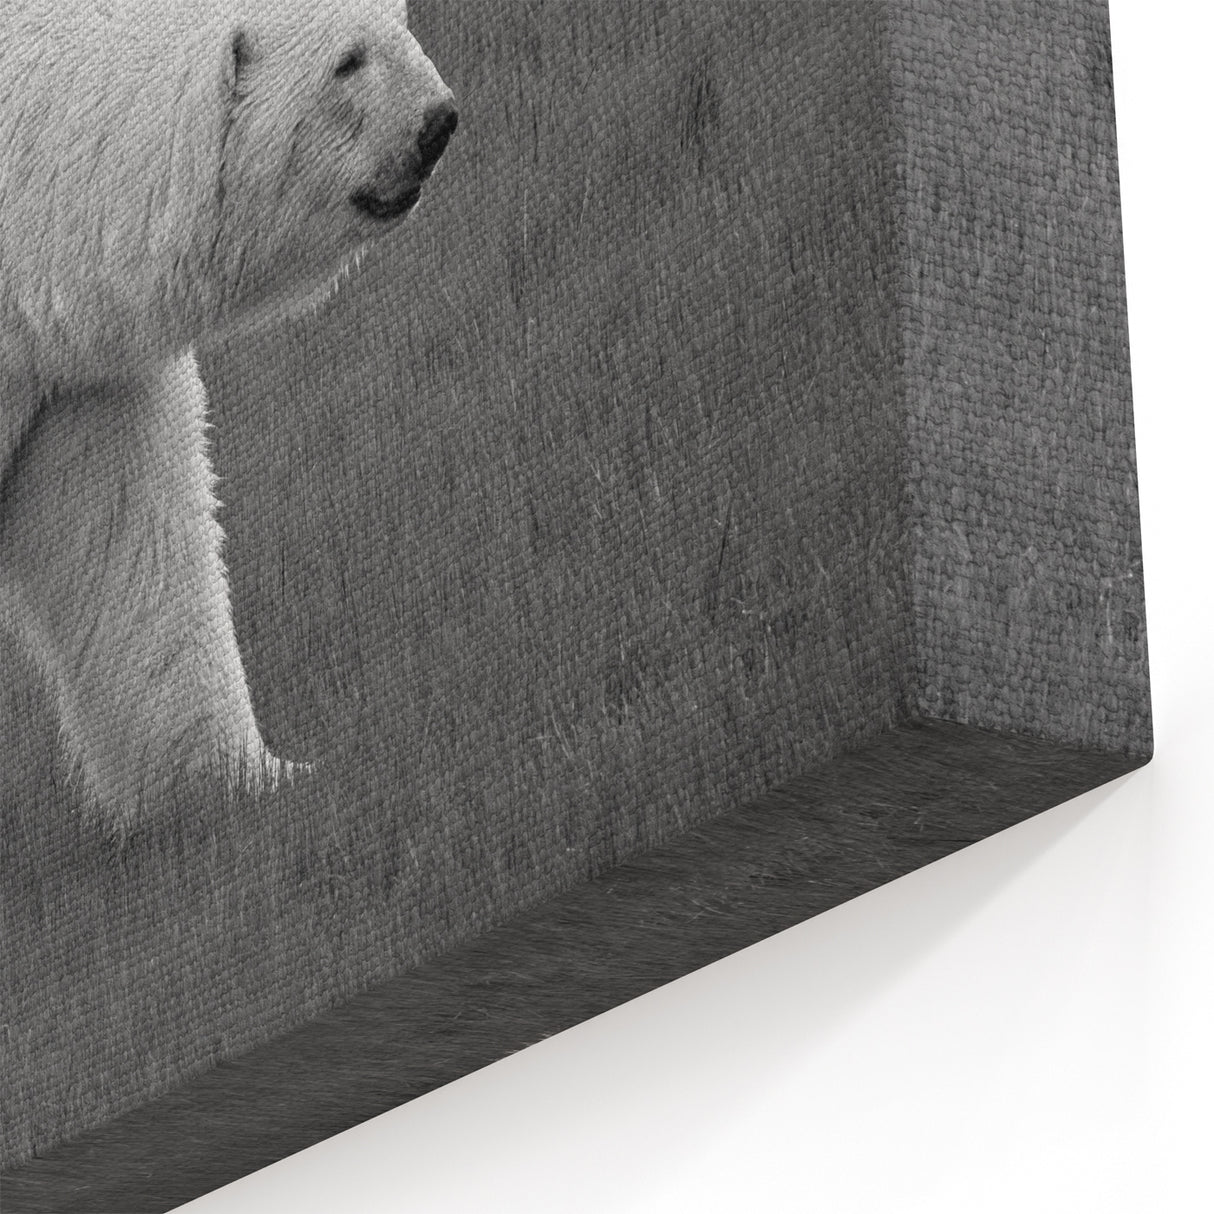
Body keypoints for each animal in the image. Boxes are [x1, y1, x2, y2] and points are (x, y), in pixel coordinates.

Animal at [0, 0, 457, 822]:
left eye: (398, 22)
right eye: (346, 62)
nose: (438, 122)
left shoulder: (66, 377)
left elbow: (120, 542)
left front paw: (245, 781)